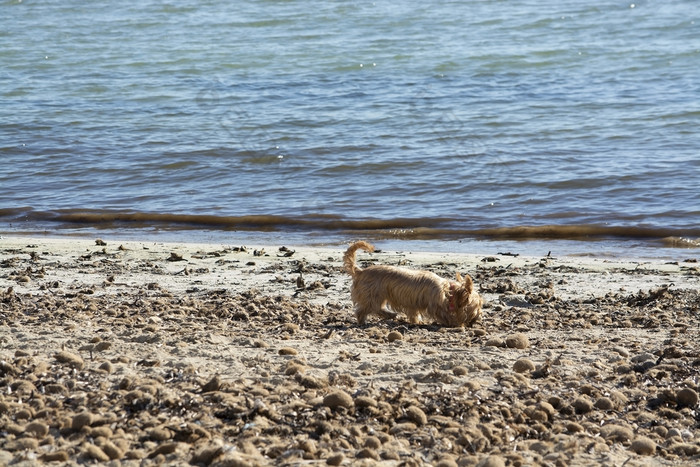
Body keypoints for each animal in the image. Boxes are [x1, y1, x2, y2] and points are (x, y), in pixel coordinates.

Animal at [344, 243, 482, 328]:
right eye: (478, 306)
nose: (480, 316)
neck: (449, 291)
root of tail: (361, 271)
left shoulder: (413, 305)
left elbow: (414, 314)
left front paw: (417, 321)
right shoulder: (435, 306)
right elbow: (444, 315)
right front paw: (456, 323)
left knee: (374, 308)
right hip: (372, 295)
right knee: (366, 309)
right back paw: (382, 316)